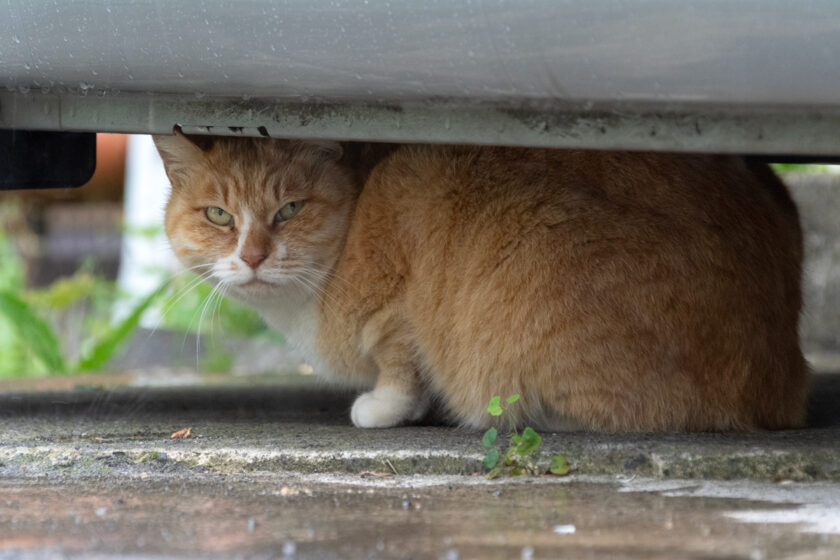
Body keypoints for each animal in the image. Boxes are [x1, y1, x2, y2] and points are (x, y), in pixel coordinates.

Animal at [154, 132, 812, 434]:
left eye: (290, 209)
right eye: (219, 216)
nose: (253, 256)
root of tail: (780, 379)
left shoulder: (407, 221)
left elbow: (401, 363)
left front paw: (385, 408)